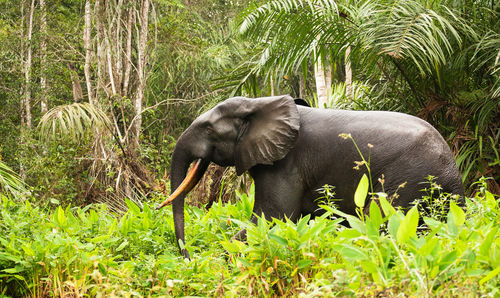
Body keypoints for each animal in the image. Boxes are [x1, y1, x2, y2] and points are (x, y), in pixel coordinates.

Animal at [157, 94, 464, 258]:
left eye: (209, 129)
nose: (188, 257)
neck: (260, 102)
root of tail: (451, 163)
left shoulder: (285, 165)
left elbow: (270, 219)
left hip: (405, 180)